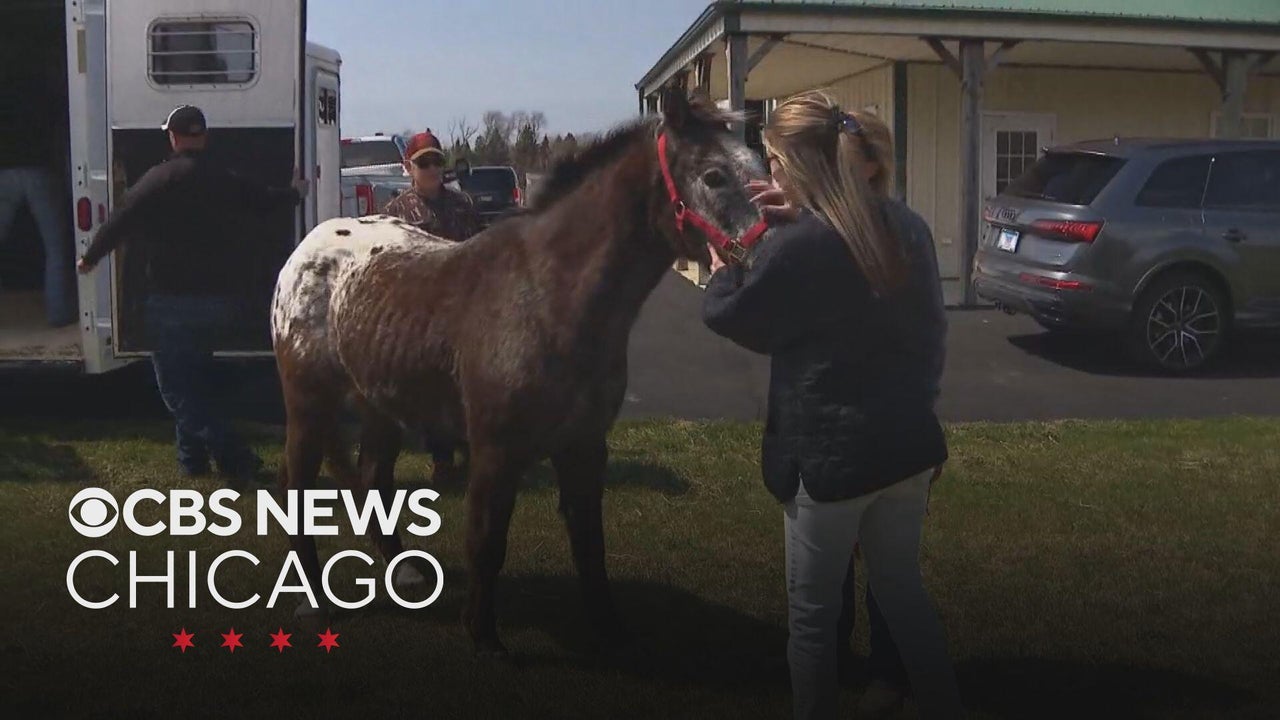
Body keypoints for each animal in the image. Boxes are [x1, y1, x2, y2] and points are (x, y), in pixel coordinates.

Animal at [268, 88, 774, 657]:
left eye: (759, 164)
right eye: (714, 176)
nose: (771, 252)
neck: (545, 296)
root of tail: (306, 250)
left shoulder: (584, 446)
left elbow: (589, 543)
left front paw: (607, 627)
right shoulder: (496, 449)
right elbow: (487, 540)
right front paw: (483, 635)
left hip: (381, 406)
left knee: (374, 480)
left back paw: (409, 574)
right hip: (309, 405)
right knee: (296, 487)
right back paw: (313, 601)